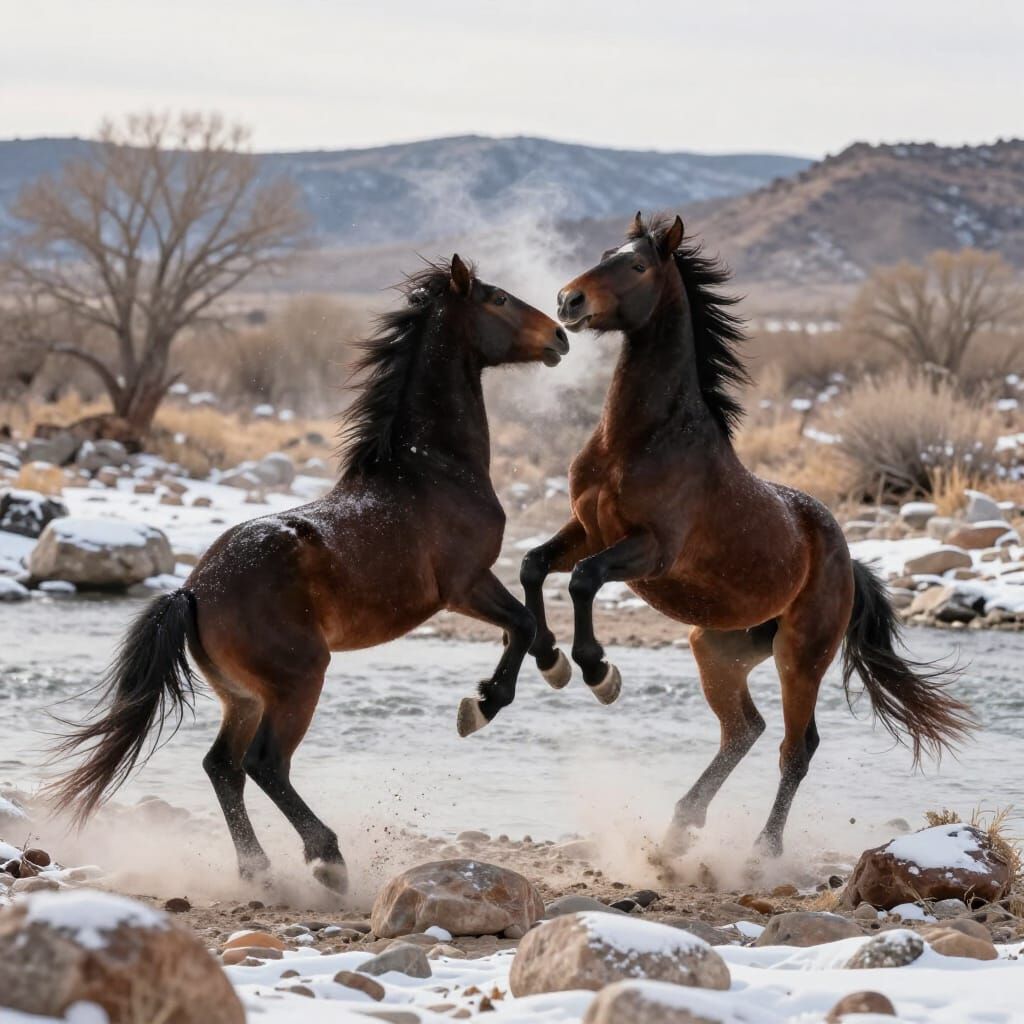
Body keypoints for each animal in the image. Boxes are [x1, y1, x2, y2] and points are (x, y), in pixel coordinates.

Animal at [49, 255, 569, 891]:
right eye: (496, 298)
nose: (560, 335)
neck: (434, 472)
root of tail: (192, 590)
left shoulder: (476, 585)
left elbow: (533, 627)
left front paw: (560, 667)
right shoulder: (465, 585)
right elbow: (521, 624)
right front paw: (482, 705)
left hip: (243, 696)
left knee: (222, 766)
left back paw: (258, 870)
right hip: (299, 680)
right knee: (265, 763)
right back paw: (327, 861)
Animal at [519, 214, 974, 856]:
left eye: (636, 265)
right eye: (605, 251)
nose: (568, 301)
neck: (640, 440)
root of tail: (847, 562)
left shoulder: (650, 551)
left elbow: (582, 581)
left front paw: (597, 671)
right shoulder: (585, 530)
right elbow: (534, 564)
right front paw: (552, 661)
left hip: (800, 657)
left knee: (795, 746)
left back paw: (763, 853)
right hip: (716, 648)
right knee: (744, 729)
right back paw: (679, 830)